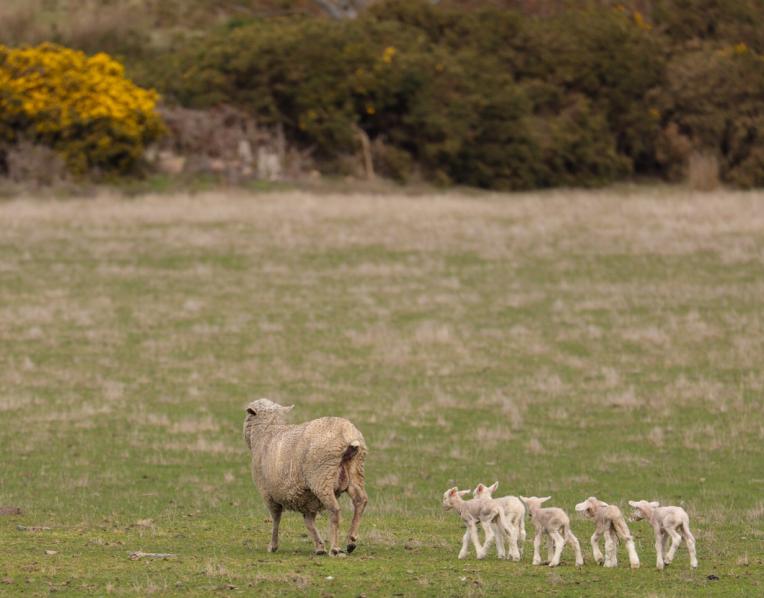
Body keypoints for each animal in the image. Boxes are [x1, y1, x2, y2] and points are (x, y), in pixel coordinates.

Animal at [243, 399, 368, 556]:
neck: (267, 431)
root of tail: (347, 435)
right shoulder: (307, 499)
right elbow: (309, 522)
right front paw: (319, 547)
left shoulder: (268, 494)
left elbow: (276, 519)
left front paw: (273, 546)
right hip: (355, 471)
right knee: (360, 500)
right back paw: (351, 540)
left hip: (322, 477)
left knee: (334, 509)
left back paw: (335, 548)